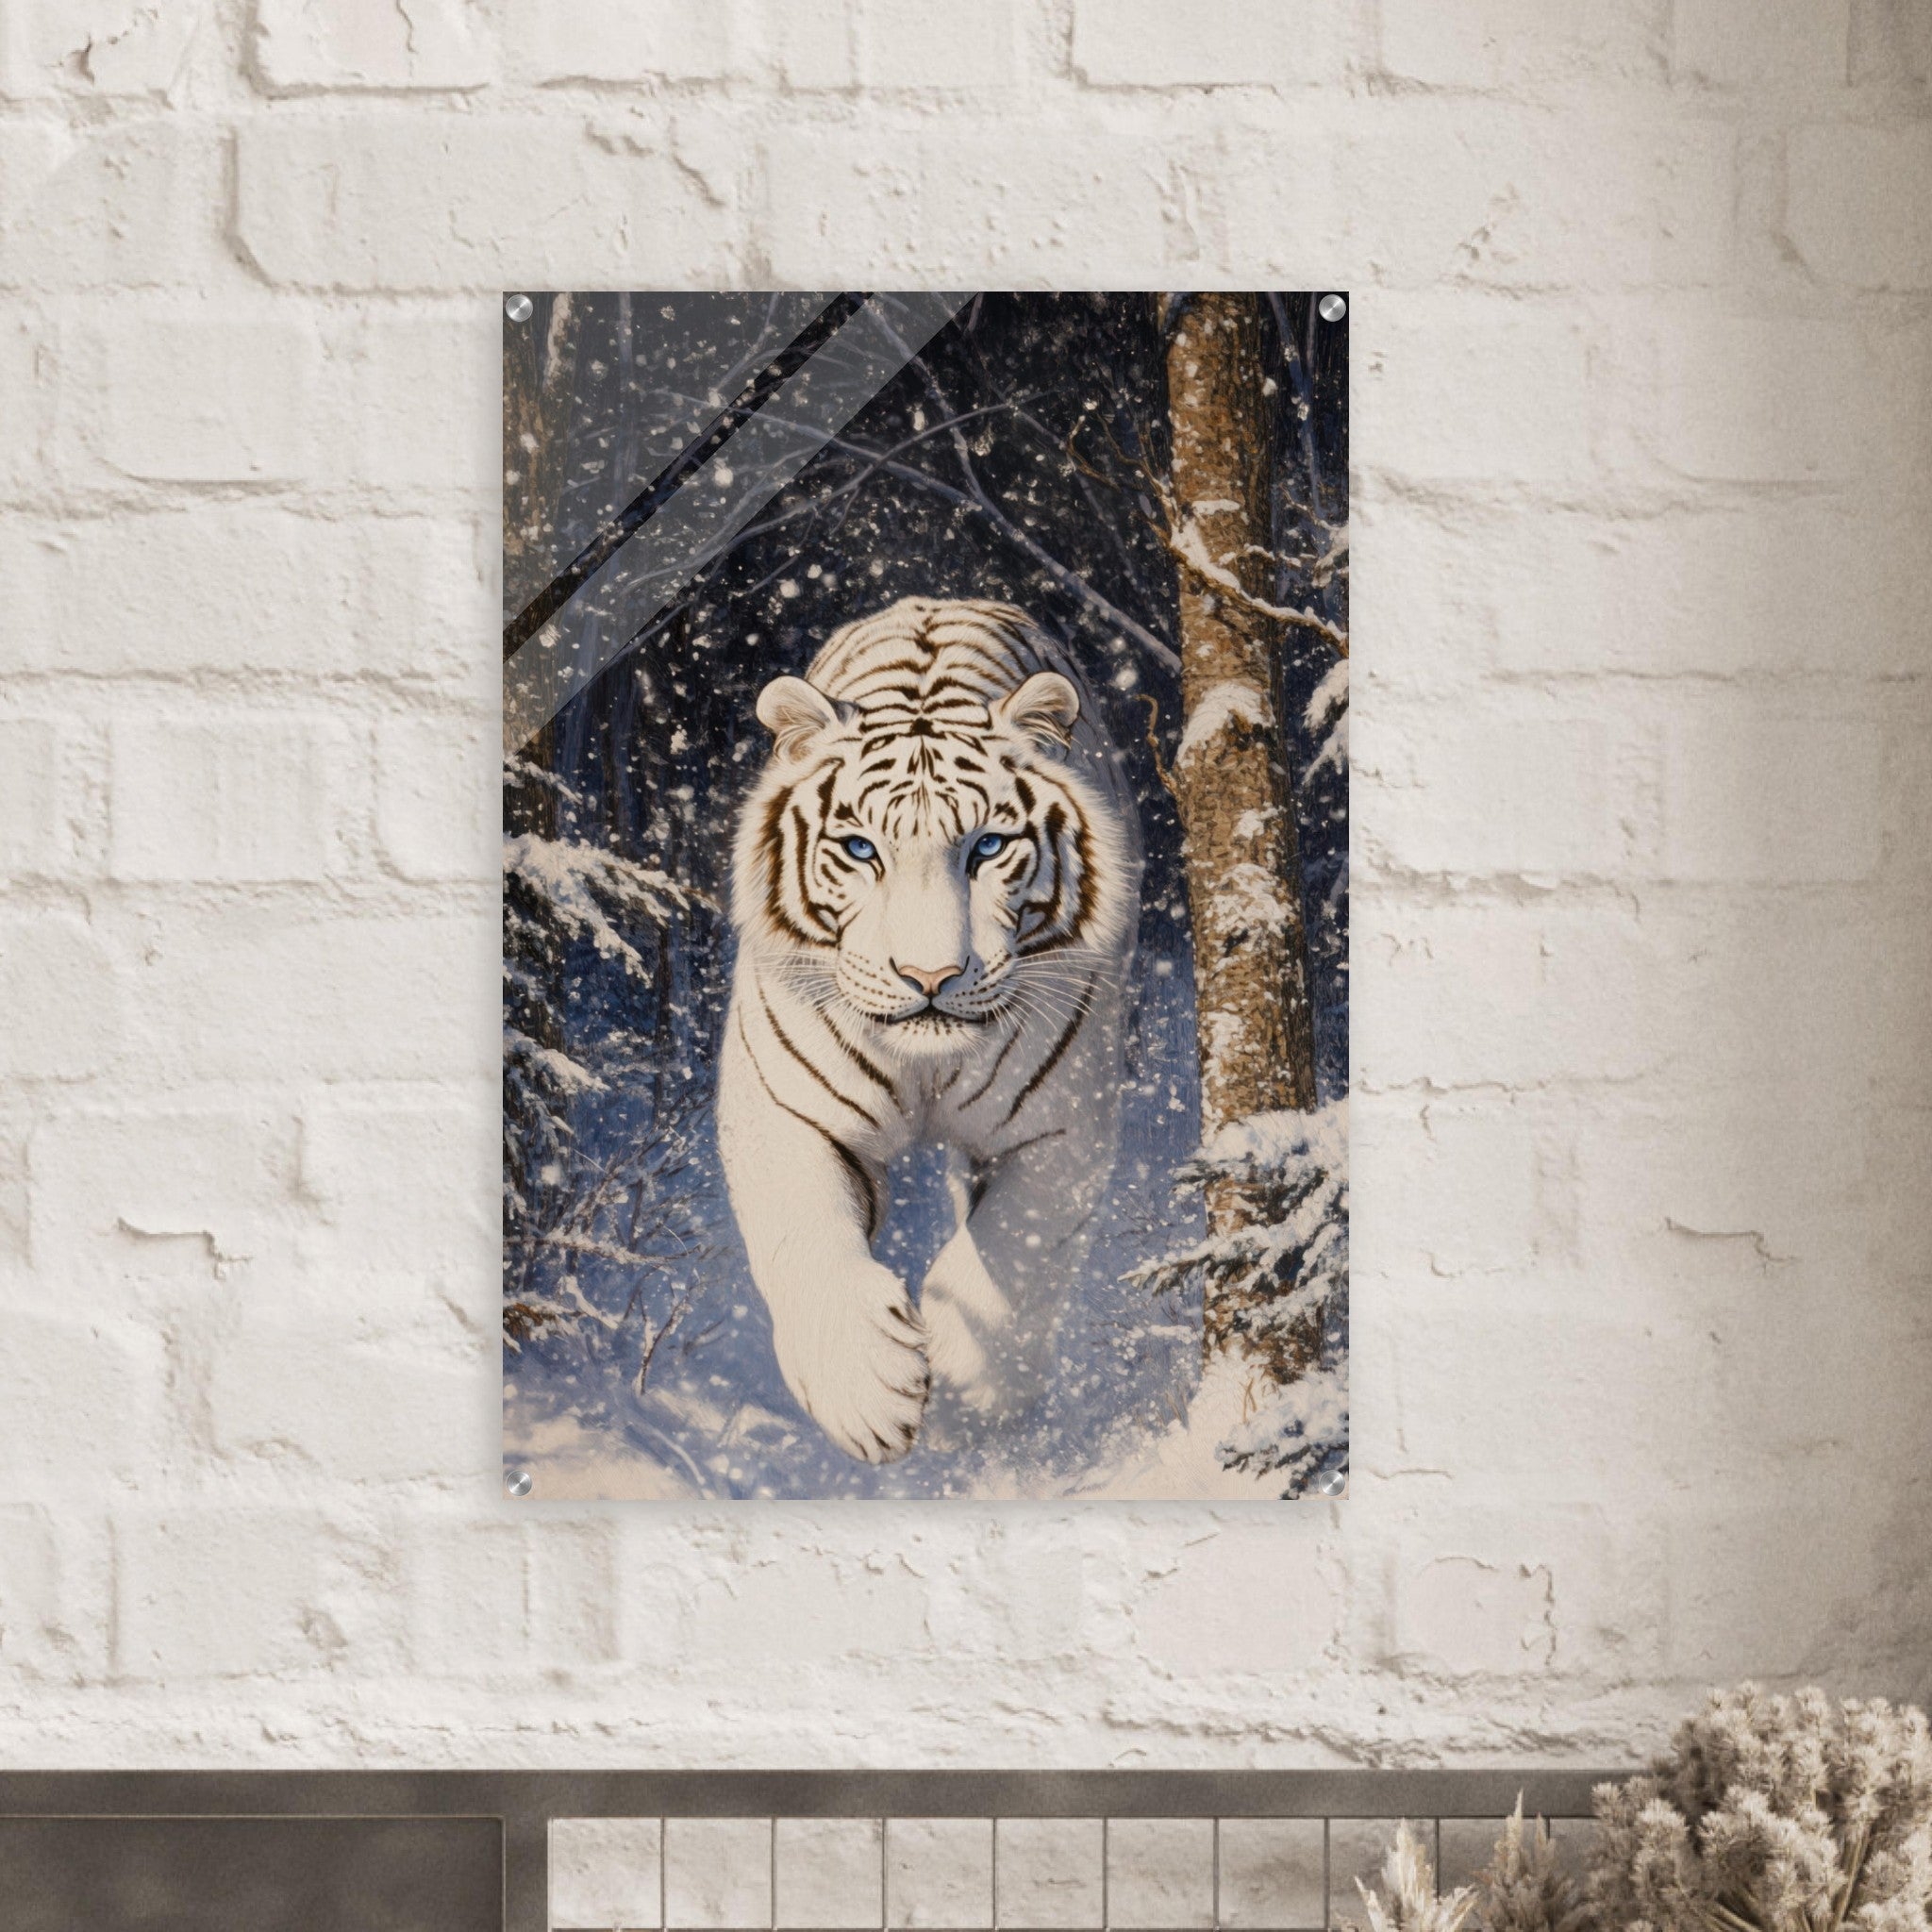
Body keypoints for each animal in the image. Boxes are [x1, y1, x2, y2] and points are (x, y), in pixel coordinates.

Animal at [716, 597, 1142, 1465]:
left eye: (988, 846)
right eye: (859, 849)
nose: (929, 978)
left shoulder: (1061, 1126)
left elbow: (1012, 1253)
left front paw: (970, 1399)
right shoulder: (782, 1109)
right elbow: (803, 1233)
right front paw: (864, 1392)